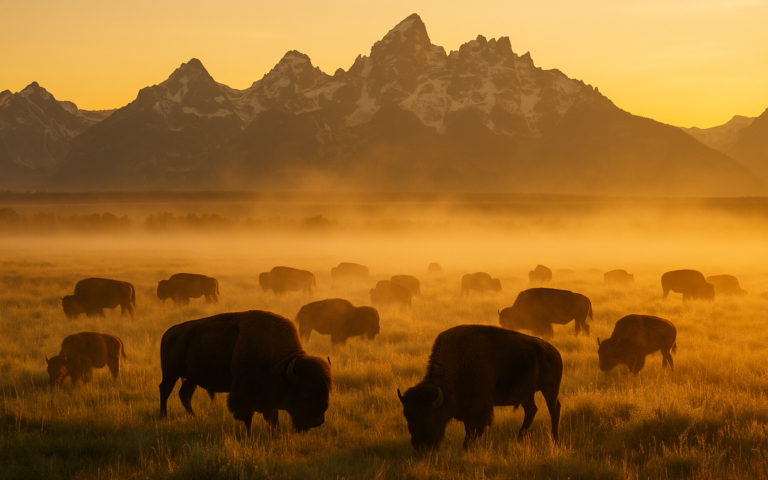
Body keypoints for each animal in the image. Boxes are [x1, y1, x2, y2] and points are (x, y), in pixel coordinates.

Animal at [159, 310, 332, 433]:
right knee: (165, 390)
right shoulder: (243, 393)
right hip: (170, 373)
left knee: (185, 395)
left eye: (327, 391)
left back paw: (194, 418)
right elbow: (248, 416)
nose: (317, 421)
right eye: (304, 392)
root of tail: (168, 333)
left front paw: (276, 431)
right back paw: (163, 417)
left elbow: (272, 416)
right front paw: (249, 434)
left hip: (191, 378)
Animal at [398, 325, 562, 450]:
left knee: (554, 409)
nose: (419, 446)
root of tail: (554, 351)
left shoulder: (479, 409)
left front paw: (466, 448)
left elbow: (473, 430)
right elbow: (469, 429)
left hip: (550, 389)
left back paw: (554, 439)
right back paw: (519, 438)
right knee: (531, 410)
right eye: (407, 415)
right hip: (527, 394)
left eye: (430, 416)